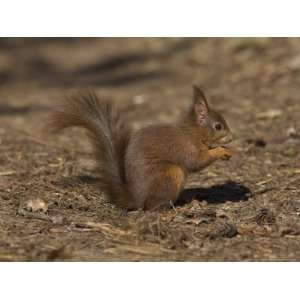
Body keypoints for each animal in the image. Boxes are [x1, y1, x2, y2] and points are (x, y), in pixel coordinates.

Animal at [48, 85, 233, 210]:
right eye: (218, 126)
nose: (232, 137)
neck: (193, 132)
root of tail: (136, 199)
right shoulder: (186, 147)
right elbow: (197, 161)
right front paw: (221, 150)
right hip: (170, 174)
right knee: (152, 207)